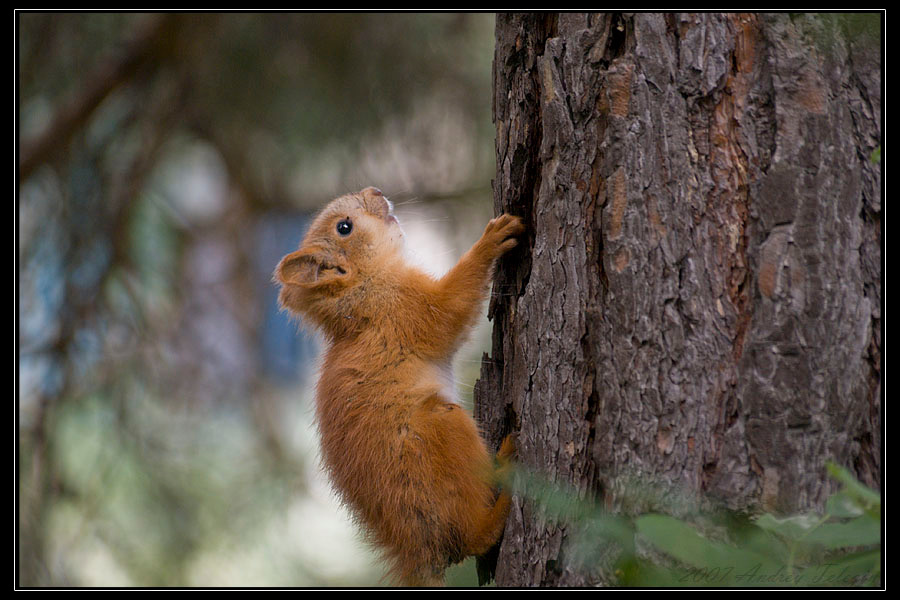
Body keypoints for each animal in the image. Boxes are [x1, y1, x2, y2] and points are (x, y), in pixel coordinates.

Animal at [274, 186, 524, 586]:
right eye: (344, 227)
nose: (375, 191)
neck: (364, 294)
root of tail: (416, 546)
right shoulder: (410, 311)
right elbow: (449, 308)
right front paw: (491, 240)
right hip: (441, 429)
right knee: (473, 537)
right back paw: (503, 483)